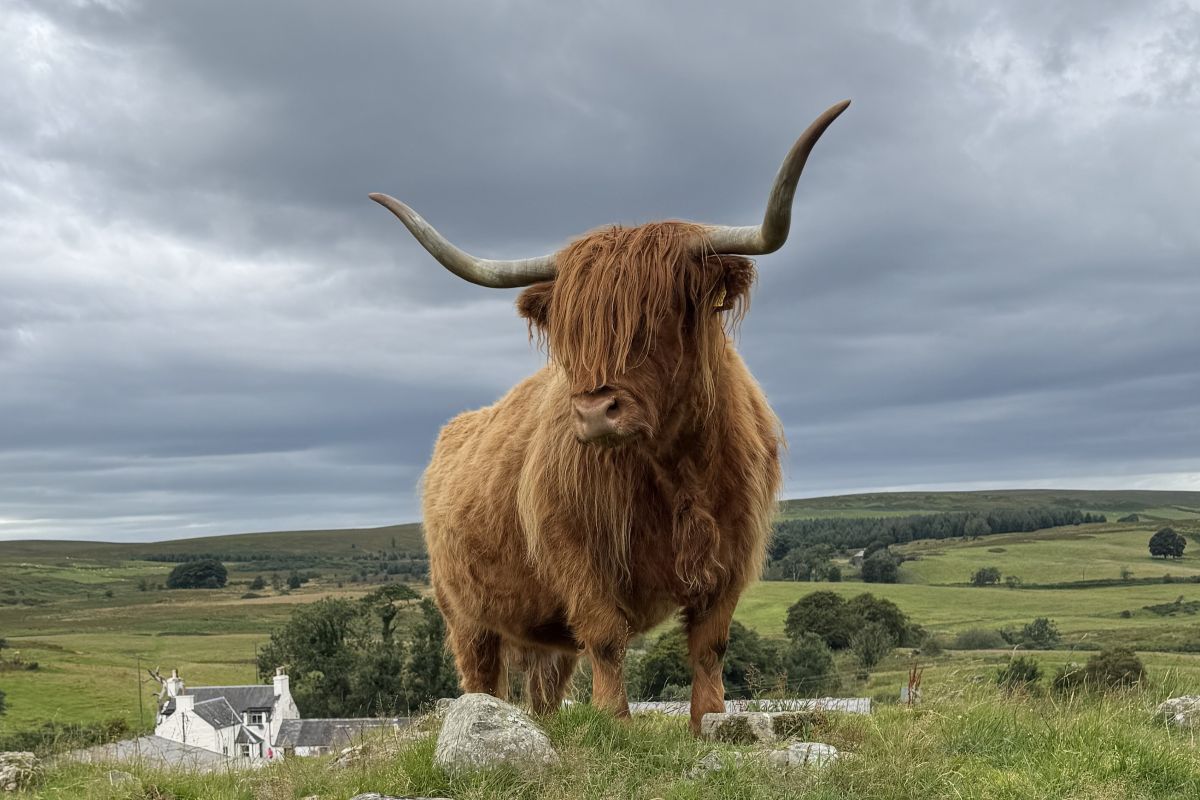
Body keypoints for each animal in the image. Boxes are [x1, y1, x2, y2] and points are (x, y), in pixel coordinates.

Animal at [370, 100, 849, 734]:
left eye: (660, 315)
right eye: (572, 329)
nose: (595, 412)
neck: (676, 468)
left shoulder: (732, 556)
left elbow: (710, 647)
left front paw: (709, 723)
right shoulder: (578, 554)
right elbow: (605, 638)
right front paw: (616, 725)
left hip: (541, 634)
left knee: (544, 687)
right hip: (464, 614)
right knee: (483, 680)